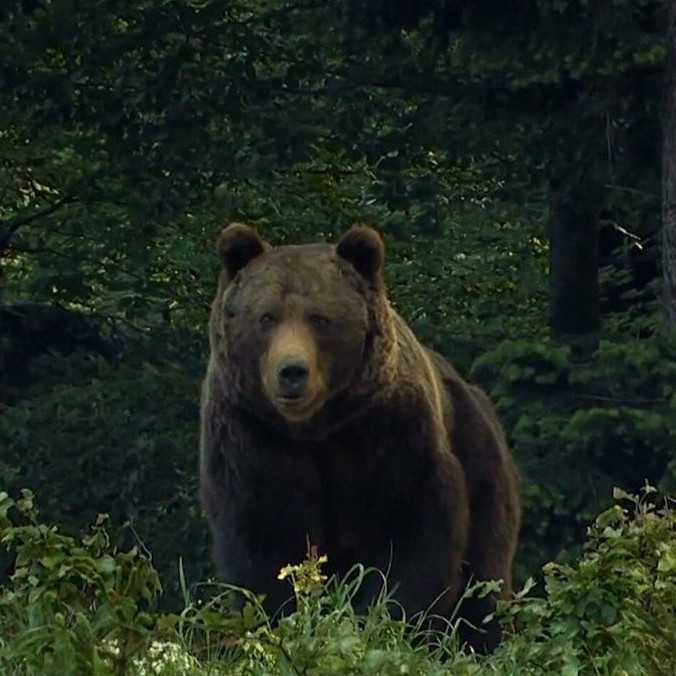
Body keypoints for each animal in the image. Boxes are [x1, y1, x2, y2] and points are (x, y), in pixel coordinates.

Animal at [198, 224, 520, 652]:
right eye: (266, 317)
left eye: (319, 317)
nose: (291, 372)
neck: (316, 428)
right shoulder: (253, 437)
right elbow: (264, 541)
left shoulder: (390, 433)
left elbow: (411, 534)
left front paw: (388, 623)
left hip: (480, 460)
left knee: (485, 580)